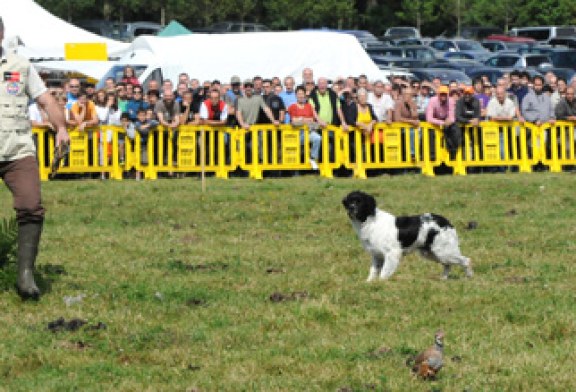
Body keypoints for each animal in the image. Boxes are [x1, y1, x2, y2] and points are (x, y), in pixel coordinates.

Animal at [342, 191, 472, 280]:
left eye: (359, 202)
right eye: (349, 202)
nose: (351, 208)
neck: (370, 221)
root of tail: (446, 222)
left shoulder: (392, 253)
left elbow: (384, 272)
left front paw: (382, 283)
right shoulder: (376, 255)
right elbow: (373, 271)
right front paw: (369, 283)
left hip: (443, 251)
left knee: (466, 260)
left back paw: (469, 276)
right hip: (432, 253)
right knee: (447, 264)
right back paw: (443, 279)